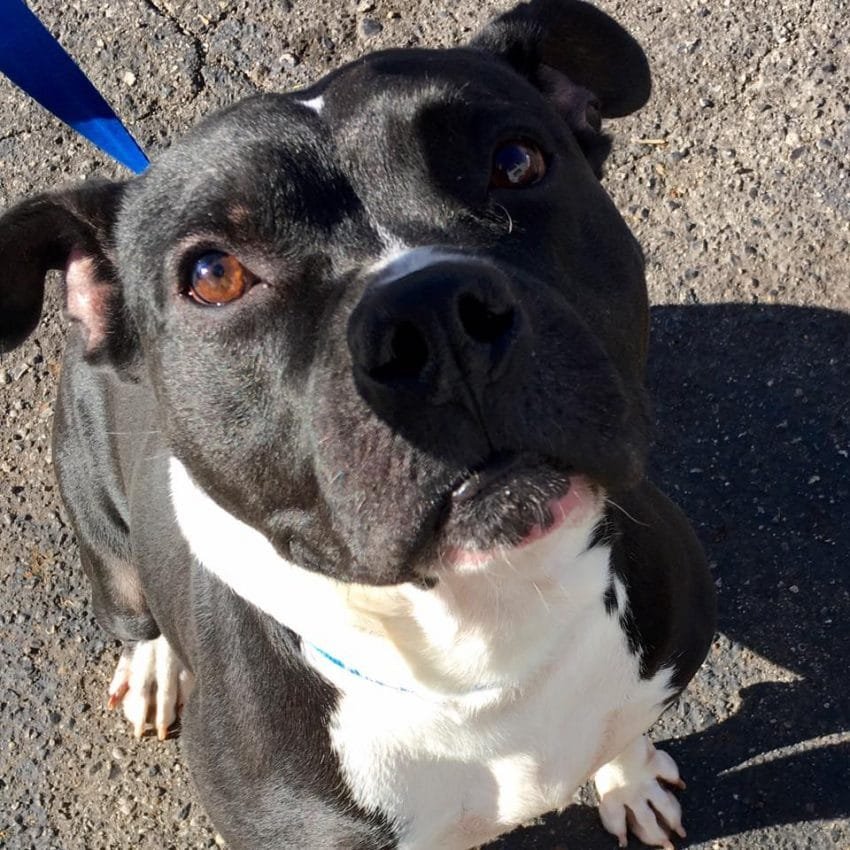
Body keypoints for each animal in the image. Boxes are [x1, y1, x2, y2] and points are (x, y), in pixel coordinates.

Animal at [0, 3, 716, 844]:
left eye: (516, 161)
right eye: (214, 275)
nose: (432, 313)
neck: (486, 641)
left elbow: (624, 731)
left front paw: (628, 781)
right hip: (99, 528)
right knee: (128, 605)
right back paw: (152, 664)